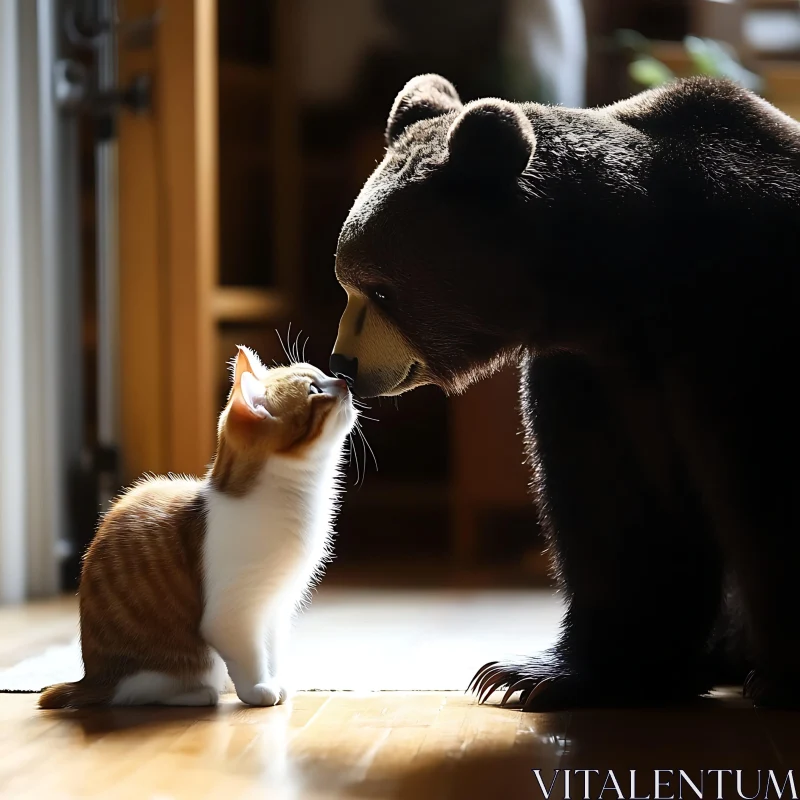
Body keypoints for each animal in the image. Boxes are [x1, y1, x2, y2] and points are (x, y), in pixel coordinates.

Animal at [39, 346, 354, 708]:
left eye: (323, 373)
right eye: (314, 390)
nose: (345, 380)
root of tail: (90, 679)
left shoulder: (275, 606)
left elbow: (271, 649)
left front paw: (275, 680)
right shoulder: (234, 613)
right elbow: (250, 654)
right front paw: (258, 689)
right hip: (171, 665)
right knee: (139, 691)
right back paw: (200, 693)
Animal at [328, 76, 800, 712]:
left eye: (380, 290)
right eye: (346, 282)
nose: (344, 363)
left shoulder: (741, 328)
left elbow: (764, 488)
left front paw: (781, 677)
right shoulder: (592, 374)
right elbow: (614, 502)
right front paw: (538, 673)